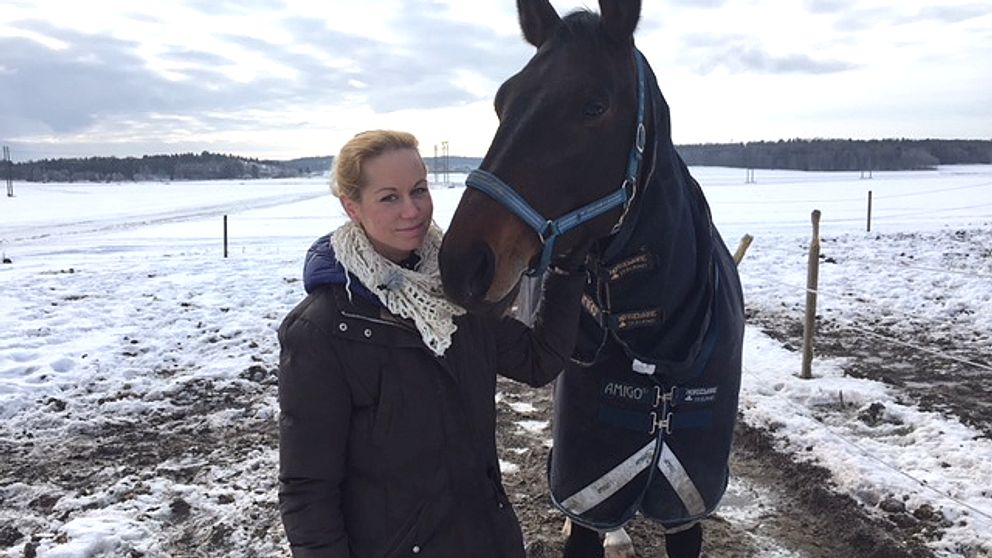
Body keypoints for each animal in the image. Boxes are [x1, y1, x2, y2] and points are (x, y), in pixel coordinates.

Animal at [438, 1, 745, 557]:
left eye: (595, 106)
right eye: (501, 102)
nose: (462, 264)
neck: (660, 347)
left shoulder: (688, 502)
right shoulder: (588, 491)